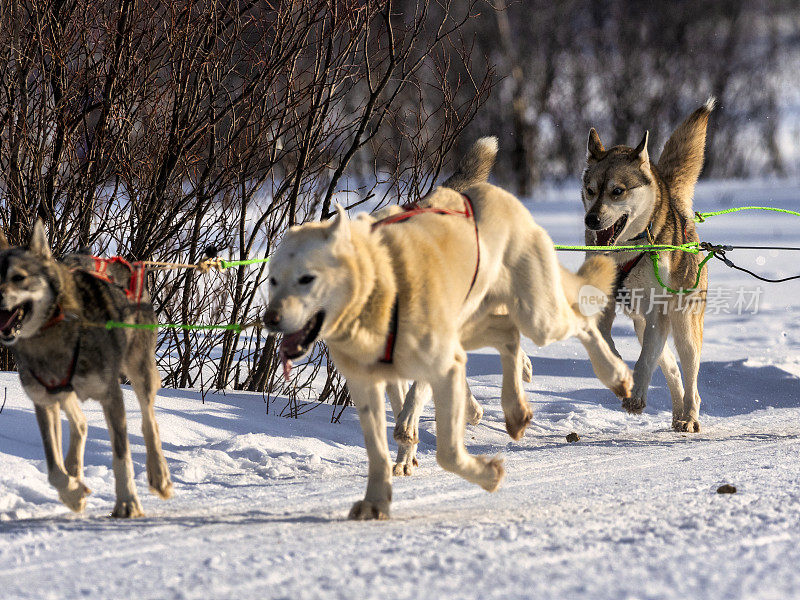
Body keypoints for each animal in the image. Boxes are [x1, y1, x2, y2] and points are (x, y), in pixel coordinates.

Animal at [264, 138, 632, 516]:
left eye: (307, 279)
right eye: (273, 280)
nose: (270, 319)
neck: (384, 289)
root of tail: (490, 193)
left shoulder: (438, 363)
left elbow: (434, 431)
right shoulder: (372, 382)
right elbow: (384, 441)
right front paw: (382, 492)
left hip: (537, 316)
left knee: (578, 325)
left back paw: (615, 375)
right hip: (478, 325)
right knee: (507, 335)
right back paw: (512, 410)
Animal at [580, 97, 716, 432]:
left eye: (617, 191)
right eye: (591, 190)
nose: (591, 219)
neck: (625, 254)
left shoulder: (658, 311)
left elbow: (644, 362)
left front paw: (637, 396)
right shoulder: (606, 309)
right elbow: (608, 345)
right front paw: (620, 376)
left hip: (682, 323)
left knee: (689, 375)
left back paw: (690, 416)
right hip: (645, 326)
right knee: (670, 368)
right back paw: (678, 414)